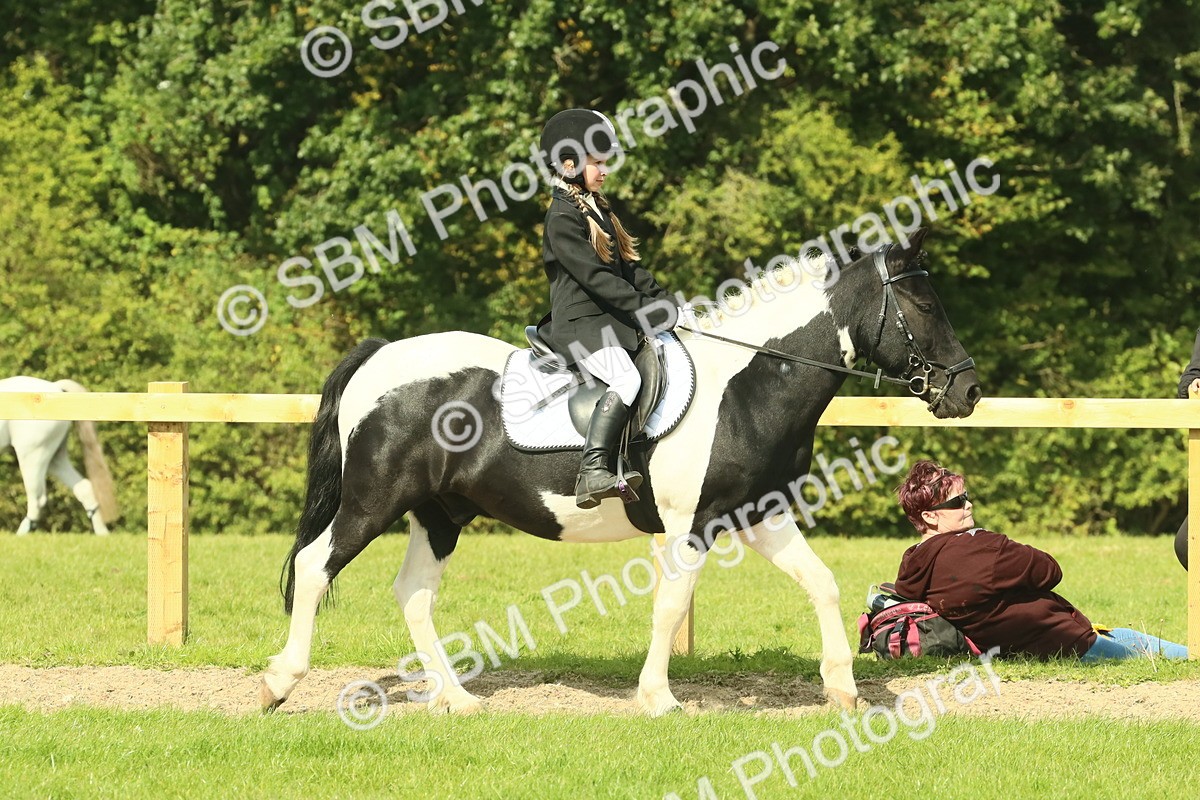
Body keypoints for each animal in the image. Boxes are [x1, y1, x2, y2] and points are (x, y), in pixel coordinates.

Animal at [0, 376, 120, 535]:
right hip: (54, 458)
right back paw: (102, 533)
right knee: (84, 488)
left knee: (37, 499)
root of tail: (55, 387)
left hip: (32, 454)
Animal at [260, 229, 982, 715]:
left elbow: (823, 585)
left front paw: (842, 688)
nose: (968, 392)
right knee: (316, 567)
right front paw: (658, 698)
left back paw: (457, 699)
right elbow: (670, 606)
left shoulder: (760, 516)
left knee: (412, 593)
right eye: (924, 307)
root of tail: (381, 356)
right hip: (374, 500)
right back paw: (278, 684)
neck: (748, 385)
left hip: (440, 512)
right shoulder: (691, 525)